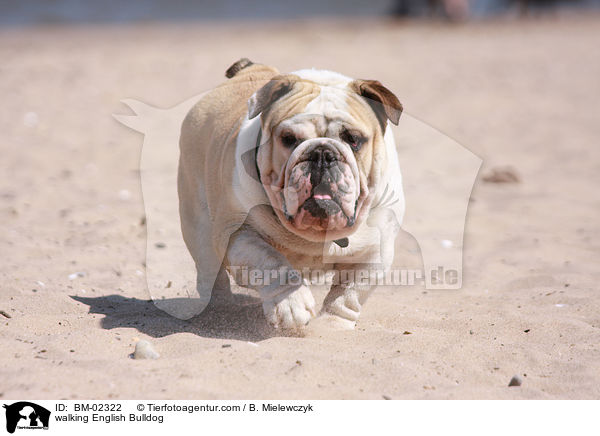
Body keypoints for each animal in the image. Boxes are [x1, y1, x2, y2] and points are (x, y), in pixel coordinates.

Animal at [177, 58, 404, 330]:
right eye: (289, 139)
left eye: (353, 139)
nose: (322, 154)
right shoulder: (239, 235)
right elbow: (271, 263)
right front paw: (291, 306)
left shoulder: (375, 252)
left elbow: (350, 293)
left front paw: (333, 324)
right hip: (199, 224)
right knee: (211, 271)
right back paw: (219, 309)